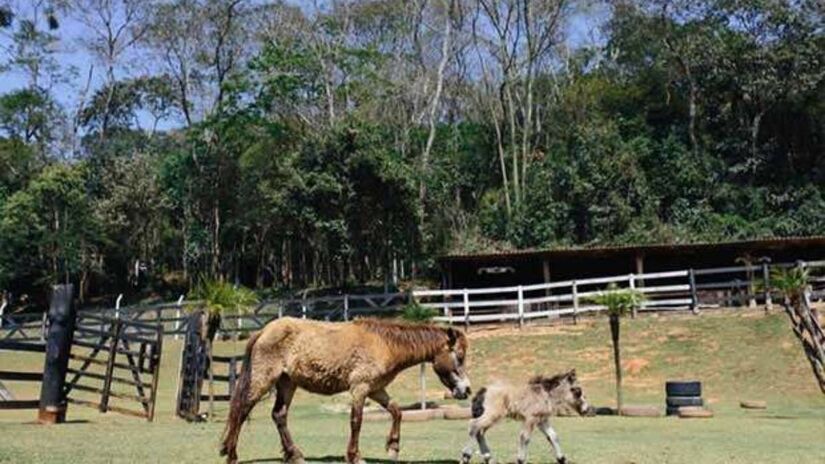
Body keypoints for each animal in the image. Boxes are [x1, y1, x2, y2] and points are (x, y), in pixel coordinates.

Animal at [219, 318, 470, 462]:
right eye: (459, 356)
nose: (466, 390)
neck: (385, 344)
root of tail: (262, 331)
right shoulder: (360, 387)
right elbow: (356, 421)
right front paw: (354, 456)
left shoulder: (376, 389)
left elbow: (397, 411)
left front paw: (393, 447)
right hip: (263, 380)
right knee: (240, 411)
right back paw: (231, 454)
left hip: (287, 383)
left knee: (279, 415)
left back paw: (295, 455)